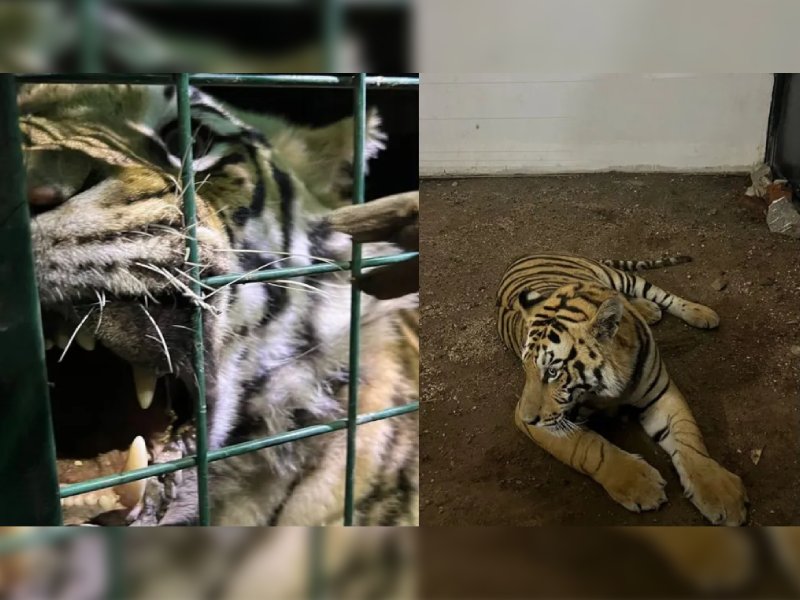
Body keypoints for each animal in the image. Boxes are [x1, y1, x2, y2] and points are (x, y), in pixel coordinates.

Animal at [496, 253, 748, 524]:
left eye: (553, 371)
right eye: (525, 368)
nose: (527, 419)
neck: (605, 389)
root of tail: (524, 256)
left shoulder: (660, 394)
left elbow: (688, 437)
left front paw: (721, 492)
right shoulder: (547, 421)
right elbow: (589, 448)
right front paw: (640, 485)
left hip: (622, 278)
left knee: (660, 294)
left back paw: (700, 312)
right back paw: (648, 310)